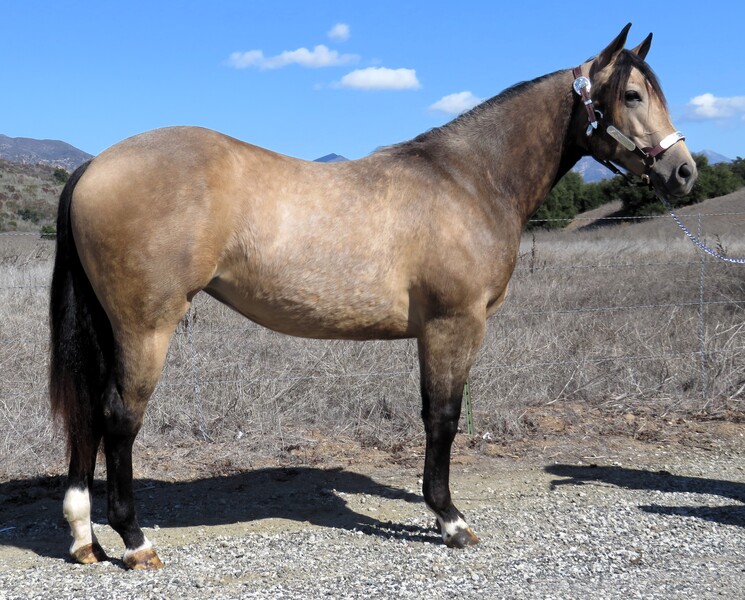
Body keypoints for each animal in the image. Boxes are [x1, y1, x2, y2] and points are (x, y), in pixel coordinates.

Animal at [49, 23, 696, 568]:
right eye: (632, 95)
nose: (684, 171)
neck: (469, 179)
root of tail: (96, 166)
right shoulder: (454, 325)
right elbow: (442, 419)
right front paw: (450, 521)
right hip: (146, 327)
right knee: (118, 417)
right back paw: (134, 541)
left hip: (111, 327)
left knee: (88, 415)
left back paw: (84, 538)